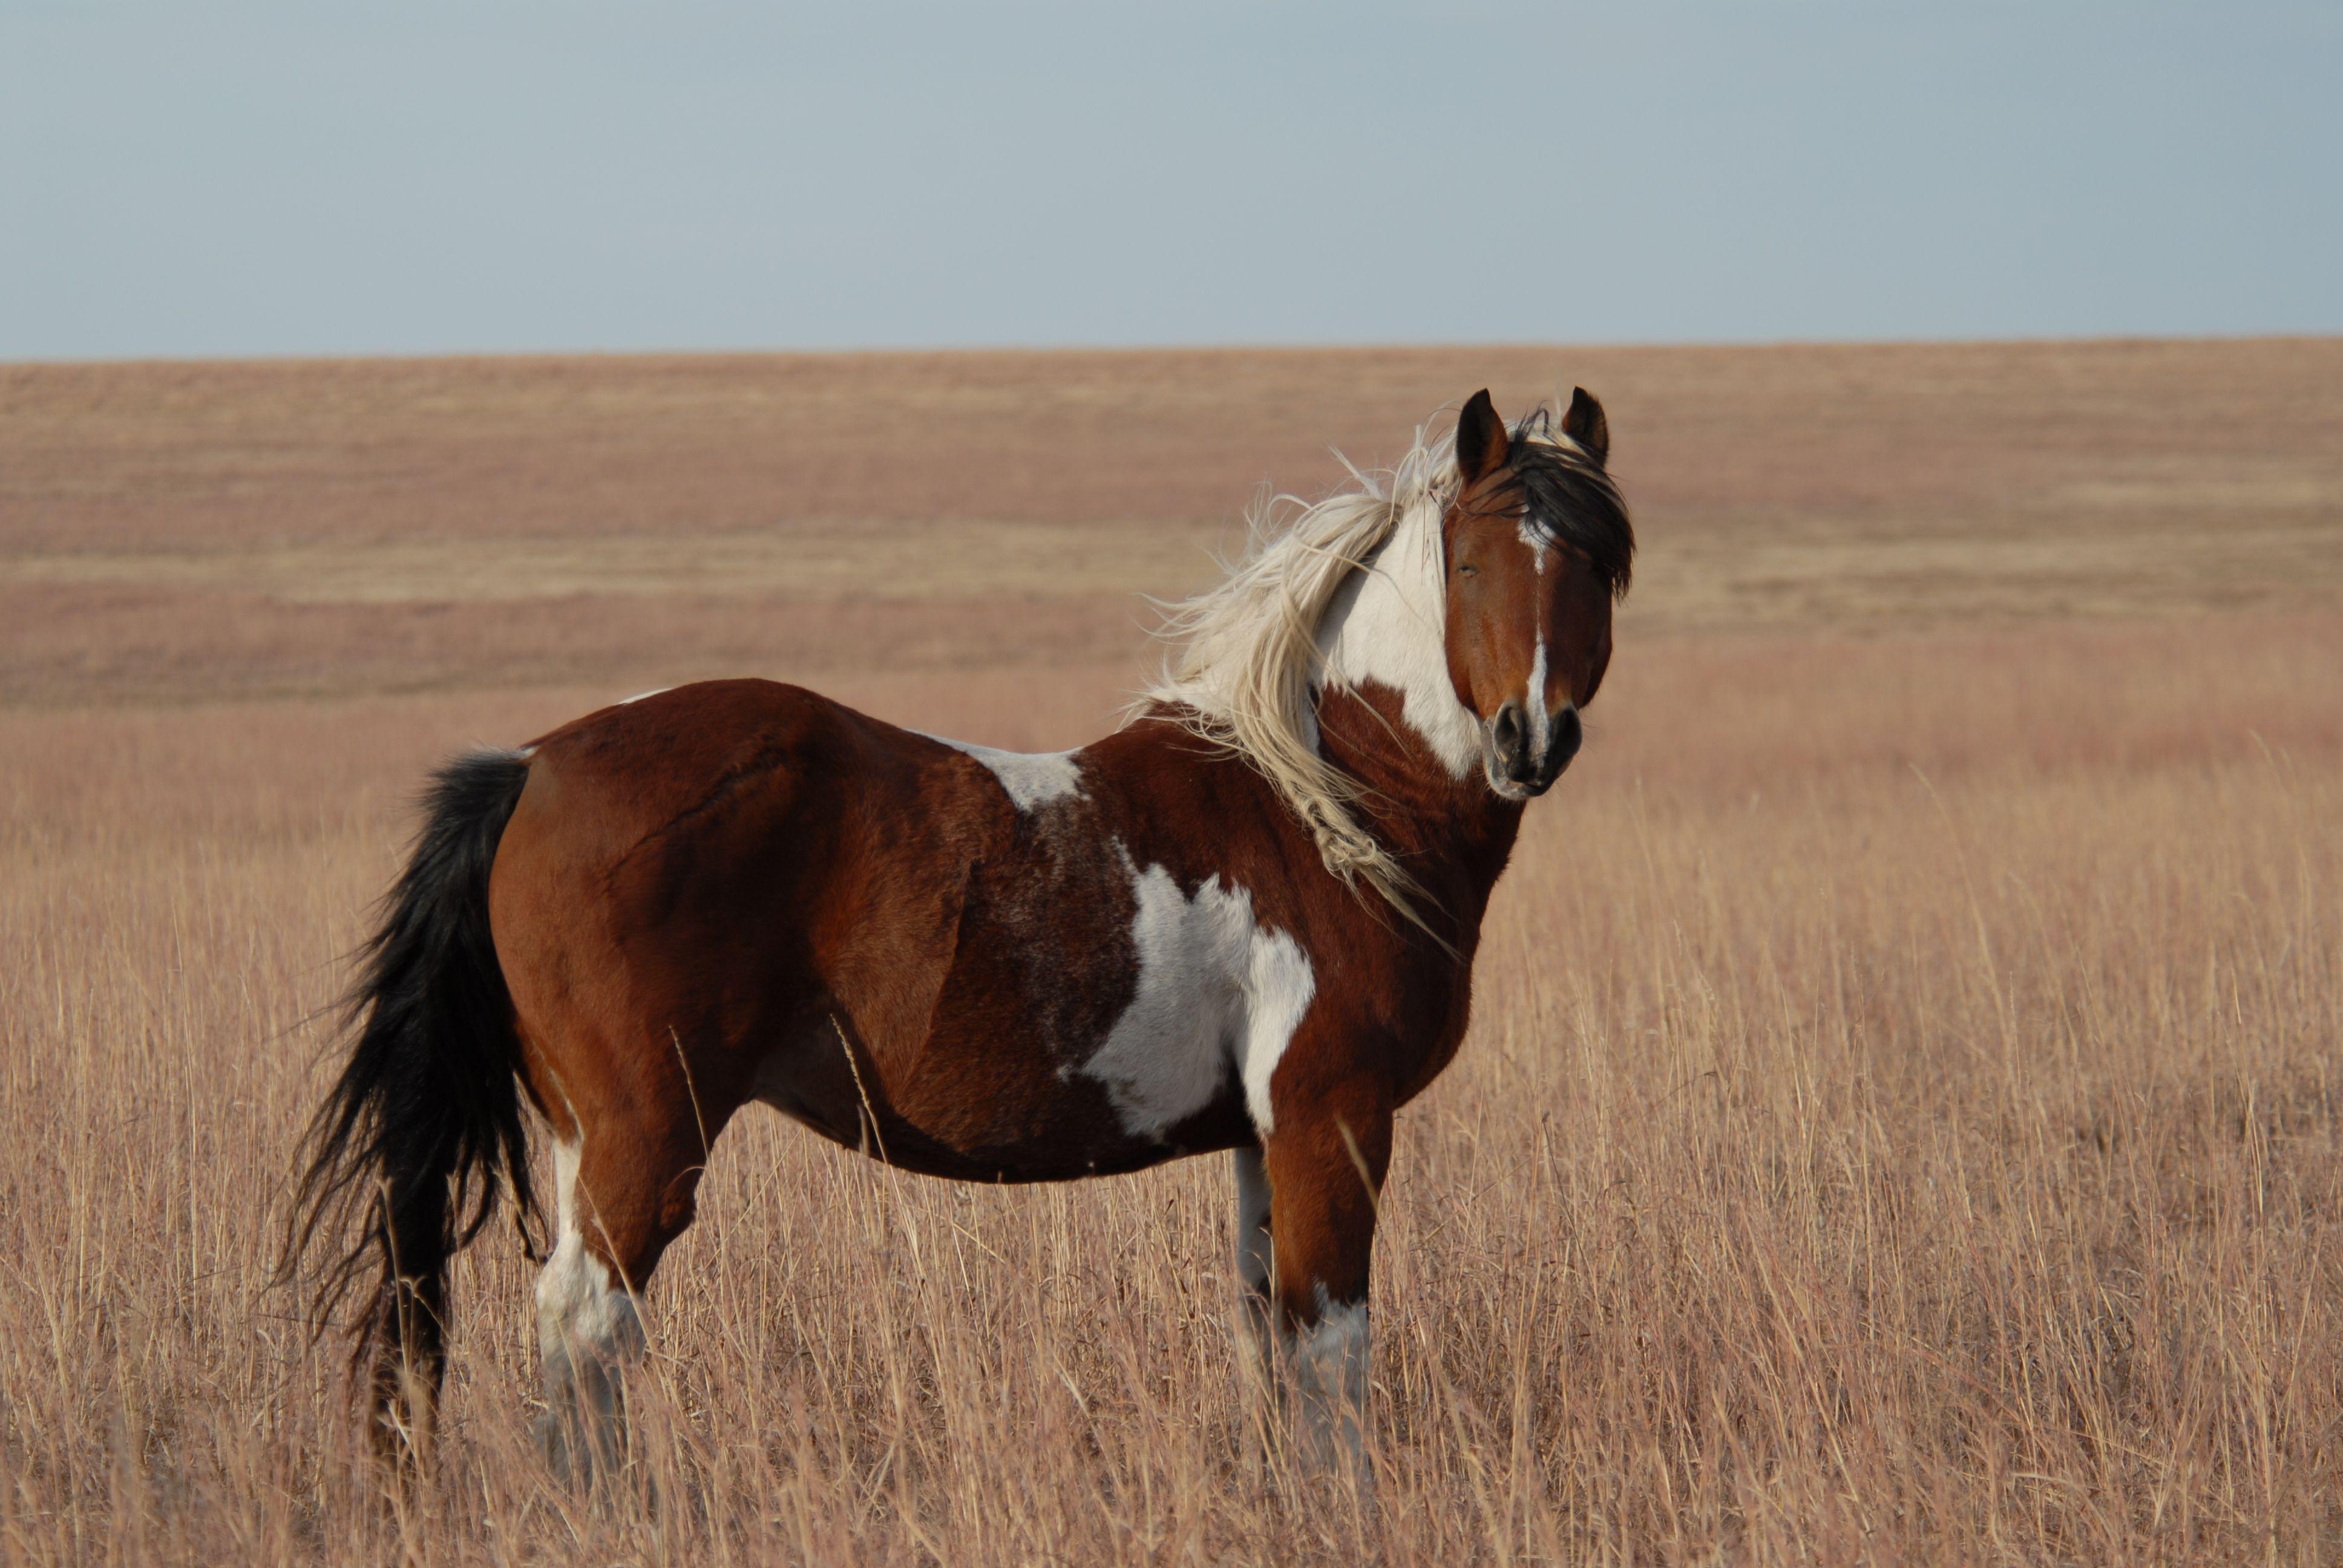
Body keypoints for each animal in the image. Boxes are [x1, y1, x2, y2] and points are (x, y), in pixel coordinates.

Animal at [285, 386, 1634, 1482]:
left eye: (1605, 563)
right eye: (1473, 564)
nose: (1532, 737)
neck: (1322, 809)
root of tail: (534, 765)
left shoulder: (1266, 1137)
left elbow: (1268, 1335)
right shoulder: (1333, 1118)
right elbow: (1332, 1348)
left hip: (579, 1135)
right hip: (642, 1136)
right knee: (584, 1328)